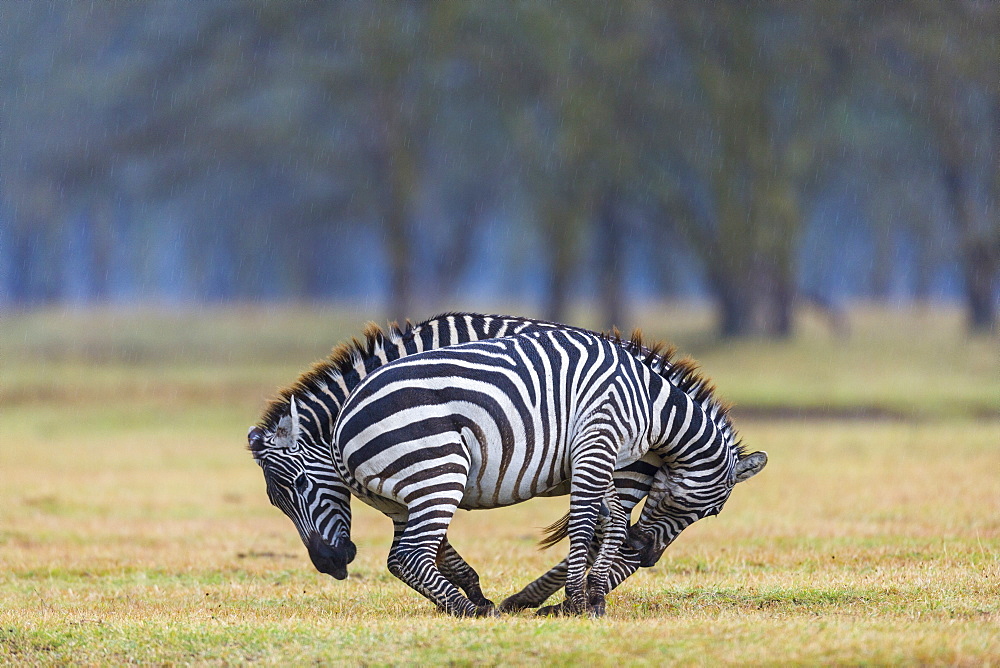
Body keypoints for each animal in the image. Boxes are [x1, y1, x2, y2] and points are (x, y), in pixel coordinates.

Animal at [328, 328, 764, 616]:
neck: (654, 406)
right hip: (438, 470)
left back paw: (476, 601)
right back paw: (474, 610)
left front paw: (592, 597)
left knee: (407, 553)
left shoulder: (606, 462)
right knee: (409, 555)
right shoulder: (598, 442)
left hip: (399, 498)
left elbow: (611, 526)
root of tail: (341, 425)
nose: (647, 555)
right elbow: (586, 527)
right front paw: (577, 600)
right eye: (709, 512)